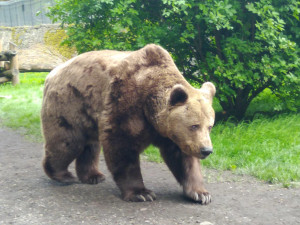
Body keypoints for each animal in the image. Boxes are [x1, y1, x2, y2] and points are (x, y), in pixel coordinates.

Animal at [42, 43, 216, 204]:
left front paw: (201, 194)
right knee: (68, 142)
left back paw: (93, 176)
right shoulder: (126, 101)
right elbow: (122, 146)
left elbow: (184, 159)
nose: (206, 150)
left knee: (90, 146)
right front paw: (142, 193)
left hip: (89, 115)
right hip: (70, 102)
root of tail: (52, 73)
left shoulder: (171, 135)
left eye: (209, 126)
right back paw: (63, 175)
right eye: (194, 125)